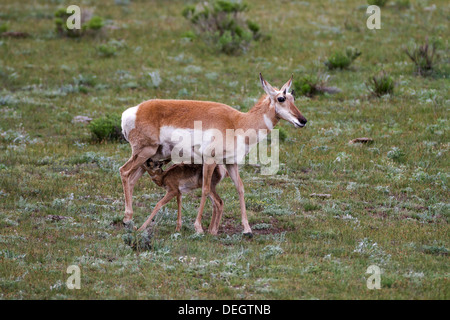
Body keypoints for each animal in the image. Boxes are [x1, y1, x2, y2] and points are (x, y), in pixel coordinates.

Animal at [120, 74, 306, 236]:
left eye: (293, 98)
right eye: (281, 98)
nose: (303, 120)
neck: (238, 122)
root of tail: (133, 111)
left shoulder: (231, 163)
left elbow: (240, 188)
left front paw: (247, 230)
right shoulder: (210, 160)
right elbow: (205, 188)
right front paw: (198, 227)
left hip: (151, 158)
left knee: (132, 179)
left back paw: (131, 221)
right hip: (144, 152)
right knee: (124, 172)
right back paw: (127, 219)